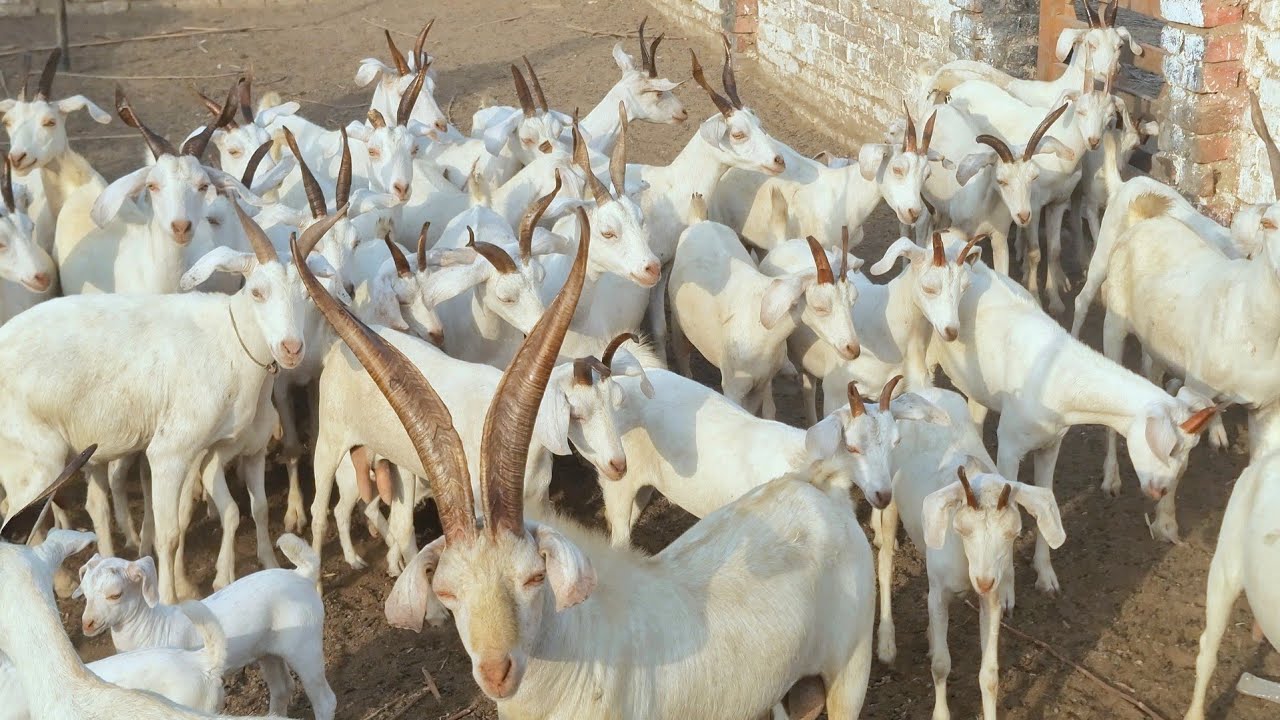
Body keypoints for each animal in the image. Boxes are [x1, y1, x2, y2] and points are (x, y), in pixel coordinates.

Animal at [669, 223, 857, 417]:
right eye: (820, 307)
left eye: (852, 301)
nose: (852, 349)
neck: (759, 327)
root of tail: (701, 222)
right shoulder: (733, 388)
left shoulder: (761, 383)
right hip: (677, 324)